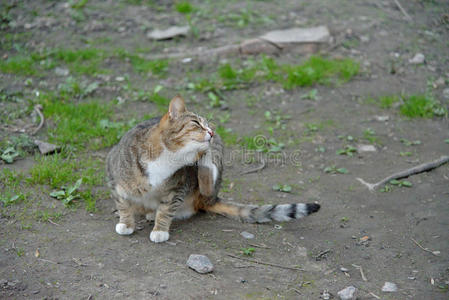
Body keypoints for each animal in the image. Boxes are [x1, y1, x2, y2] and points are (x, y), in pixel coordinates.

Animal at [107, 96, 320, 244]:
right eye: (196, 123)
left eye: (207, 125)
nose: (211, 131)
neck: (167, 159)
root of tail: (210, 200)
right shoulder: (113, 174)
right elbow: (123, 203)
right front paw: (126, 223)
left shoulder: (179, 186)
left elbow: (166, 209)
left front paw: (160, 229)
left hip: (206, 180)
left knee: (207, 183)